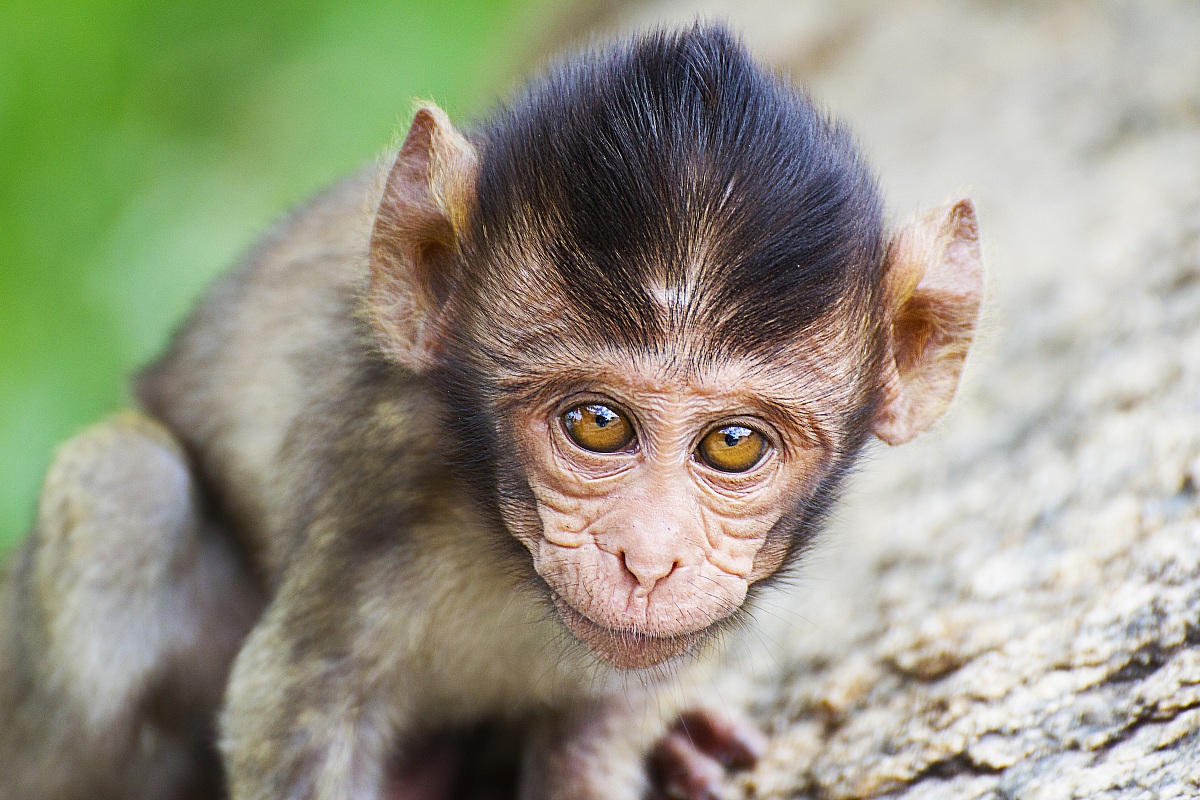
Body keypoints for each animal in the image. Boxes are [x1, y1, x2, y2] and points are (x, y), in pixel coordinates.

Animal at [0, 24, 983, 800]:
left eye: (733, 445)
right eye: (597, 424)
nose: (650, 558)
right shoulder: (379, 469)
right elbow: (291, 705)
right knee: (126, 485)